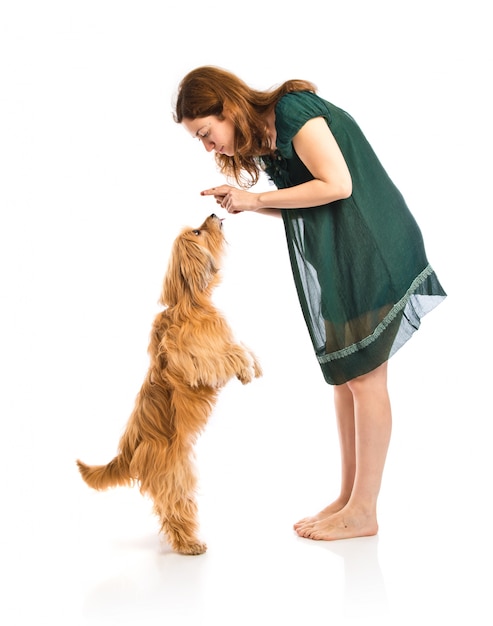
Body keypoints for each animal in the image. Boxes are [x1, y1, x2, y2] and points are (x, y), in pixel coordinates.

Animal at [76, 213, 262, 552]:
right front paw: (244, 367)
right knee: (175, 508)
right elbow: (226, 352)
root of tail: (128, 448)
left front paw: (254, 363)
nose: (213, 213)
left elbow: (238, 344)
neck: (191, 302)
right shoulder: (191, 360)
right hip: (174, 475)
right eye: (197, 232)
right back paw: (190, 544)